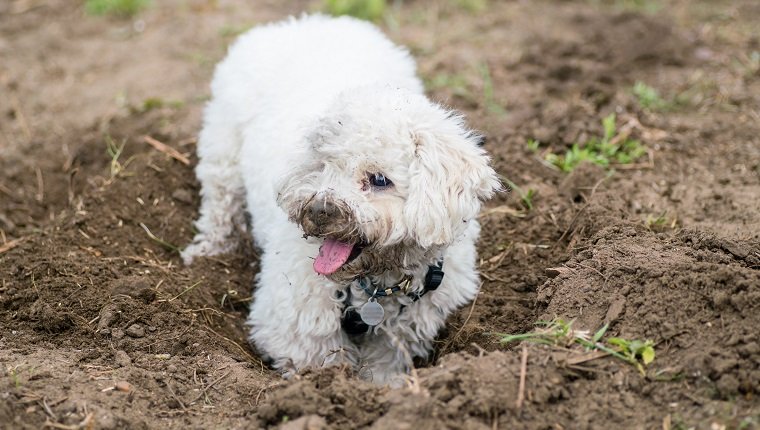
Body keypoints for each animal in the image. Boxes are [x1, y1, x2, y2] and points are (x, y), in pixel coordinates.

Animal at [182, 15, 502, 386]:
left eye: (379, 180)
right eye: (322, 166)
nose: (320, 210)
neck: (376, 285)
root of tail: (304, 22)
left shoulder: (409, 326)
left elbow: (385, 364)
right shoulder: (296, 323)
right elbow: (320, 361)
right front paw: (328, 387)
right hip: (223, 151)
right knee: (220, 204)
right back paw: (209, 250)